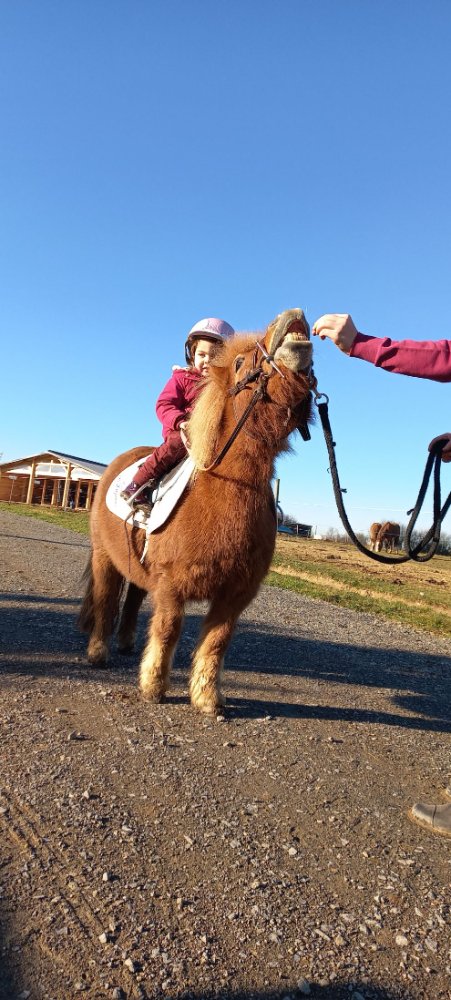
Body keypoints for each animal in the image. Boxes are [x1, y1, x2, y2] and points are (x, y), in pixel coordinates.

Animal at [79, 308, 314, 716]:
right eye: (239, 362)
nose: (293, 317)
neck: (223, 491)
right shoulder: (173, 586)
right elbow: (168, 629)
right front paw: (153, 687)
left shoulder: (235, 595)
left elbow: (216, 642)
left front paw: (207, 697)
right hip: (104, 558)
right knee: (107, 600)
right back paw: (99, 651)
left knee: (134, 598)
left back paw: (126, 643)